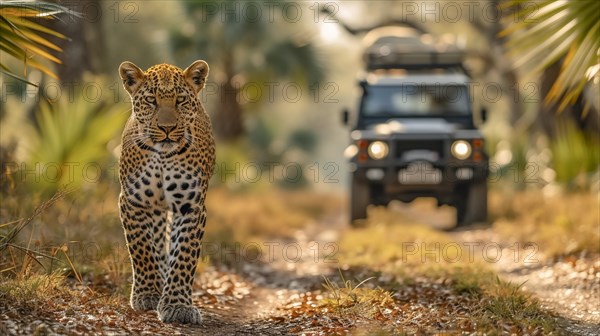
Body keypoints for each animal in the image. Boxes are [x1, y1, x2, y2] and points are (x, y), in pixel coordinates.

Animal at [117, 59, 216, 324]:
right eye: (151, 100)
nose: (167, 128)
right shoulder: (133, 201)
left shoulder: (190, 205)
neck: (161, 155)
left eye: (180, 100)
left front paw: (177, 305)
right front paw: (148, 294)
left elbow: (183, 255)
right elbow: (142, 249)